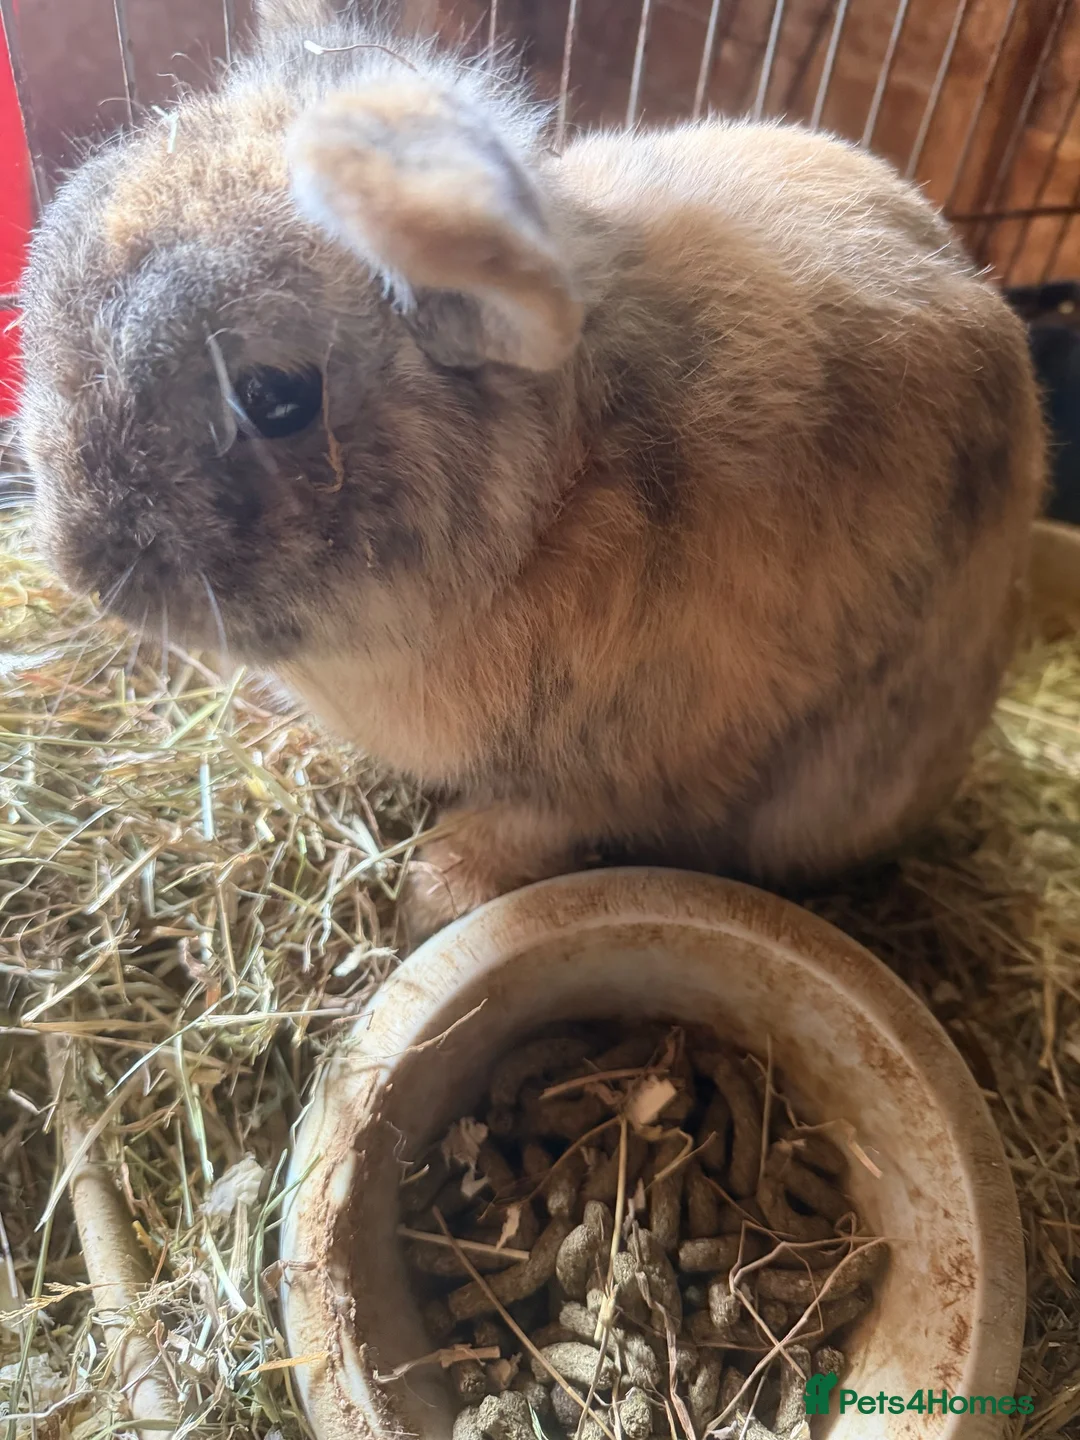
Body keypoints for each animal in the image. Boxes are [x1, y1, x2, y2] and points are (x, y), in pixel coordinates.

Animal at [19, 0, 1045, 942]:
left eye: (272, 395)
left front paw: (434, 899)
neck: (551, 511)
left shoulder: (615, 775)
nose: (82, 561)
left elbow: (530, 827)